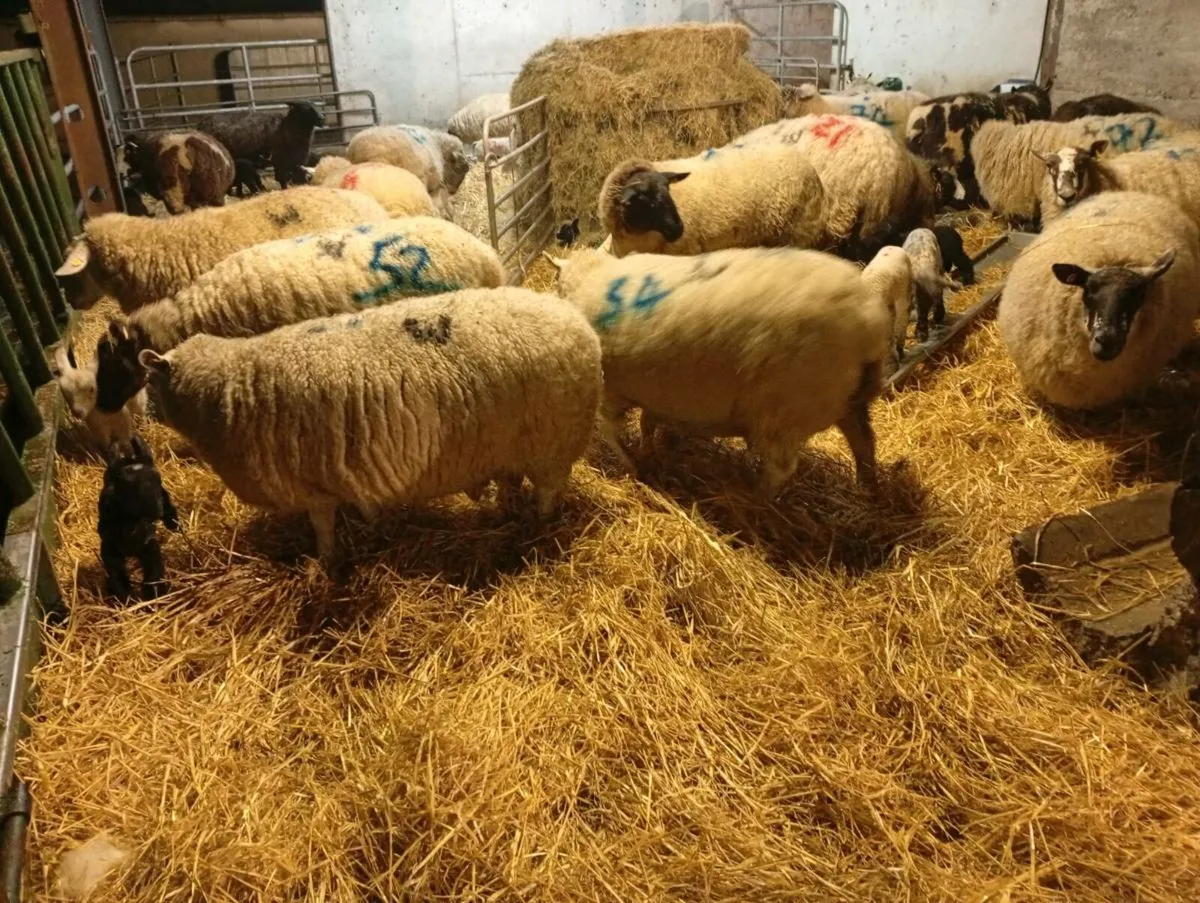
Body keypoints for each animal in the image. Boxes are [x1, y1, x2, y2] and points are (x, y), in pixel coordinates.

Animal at [98, 435, 180, 601]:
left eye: (158, 478)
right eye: (123, 481)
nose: (155, 510)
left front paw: (174, 525)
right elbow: (106, 528)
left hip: (149, 549)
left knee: (152, 570)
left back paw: (154, 593)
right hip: (110, 551)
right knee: (116, 573)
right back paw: (123, 596)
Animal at [134, 289, 604, 560]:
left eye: (150, 380)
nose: (141, 414)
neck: (230, 390)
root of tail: (580, 322)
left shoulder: (312, 487)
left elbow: (323, 529)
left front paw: (324, 562)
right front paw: (373, 529)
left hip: (552, 445)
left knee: (548, 493)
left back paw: (538, 524)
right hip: (510, 442)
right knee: (511, 478)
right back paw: (504, 509)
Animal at [195, 101, 325, 189]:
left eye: (316, 106)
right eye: (305, 109)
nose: (322, 118)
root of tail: (201, 123)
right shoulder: (279, 160)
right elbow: (282, 179)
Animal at [550, 246, 891, 495]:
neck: (590, 278)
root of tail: (869, 320)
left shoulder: (610, 390)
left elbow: (611, 432)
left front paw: (633, 466)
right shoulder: (655, 388)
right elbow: (648, 423)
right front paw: (650, 452)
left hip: (787, 409)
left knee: (781, 467)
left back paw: (756, 496)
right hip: (849, 401)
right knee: (864, 443)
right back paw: (867, 489)